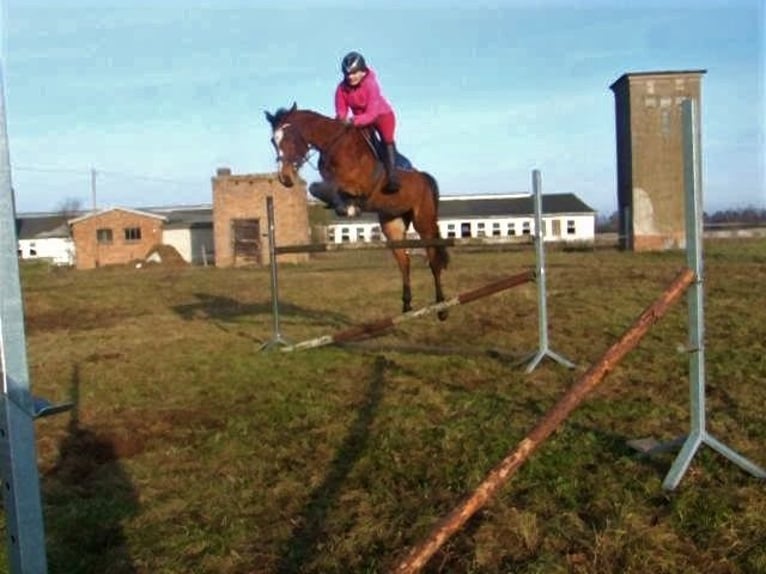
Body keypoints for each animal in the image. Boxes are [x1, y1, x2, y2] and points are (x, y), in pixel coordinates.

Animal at [266, 103, 450, 320]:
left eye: (290, 137)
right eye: (273, 141)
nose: (284, 178)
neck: (335, 145)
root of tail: (425, 178)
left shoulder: (358, 185)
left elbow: (330, 187)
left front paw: (350, 207)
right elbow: (317, 187)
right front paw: (345, 207)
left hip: (424, 222)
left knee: (434, 261)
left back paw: (442, 308)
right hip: (392, 225)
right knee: (404, 262)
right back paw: (406, 307)